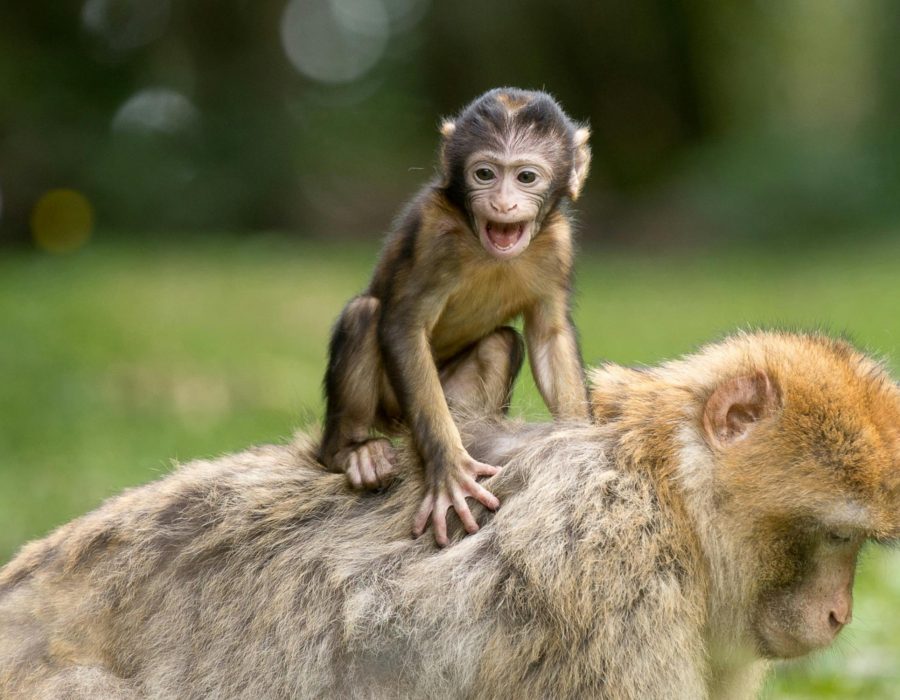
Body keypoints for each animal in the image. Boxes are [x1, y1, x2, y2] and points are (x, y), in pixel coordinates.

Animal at [319, 87, 593, 545]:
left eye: (525, 177)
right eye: (484, 174)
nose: (502, 203)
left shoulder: (559, 243)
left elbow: (549, 335)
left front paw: (578, 446)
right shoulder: (434, 234)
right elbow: (404, 327)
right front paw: (448, 470)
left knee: (501, 343)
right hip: (391, 408)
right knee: (365, 314)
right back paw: (352, 452)